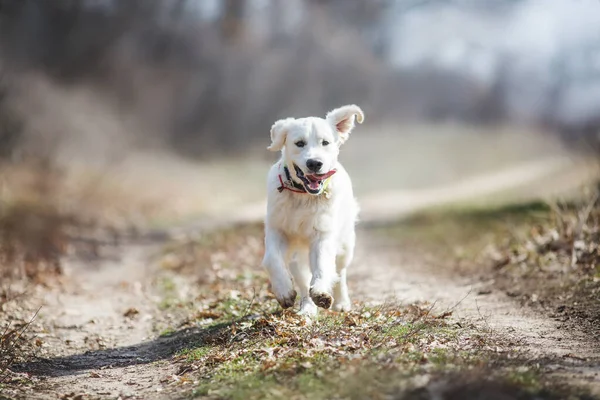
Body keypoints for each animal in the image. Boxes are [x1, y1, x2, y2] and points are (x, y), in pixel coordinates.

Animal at [262, 104, 364, 318]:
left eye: (325, 142)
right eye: (299, 143)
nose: (315, 163)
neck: (303, 196)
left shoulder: (322, 234)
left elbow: (323, 265)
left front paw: (321, 293)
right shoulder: (277, 230)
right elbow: (271, 260)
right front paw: (284, 291)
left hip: (345, 244)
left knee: (339, 272)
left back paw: (341, 302)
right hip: (297, 257)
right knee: (302, 280)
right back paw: (307, 308)